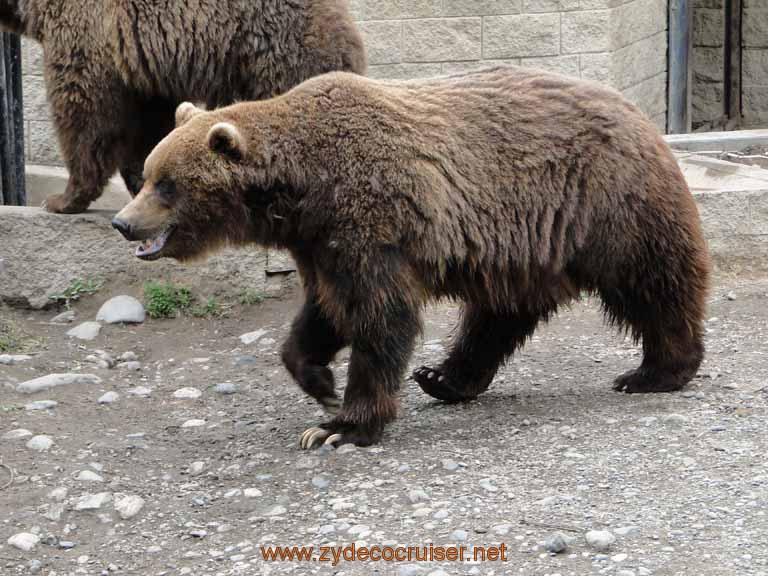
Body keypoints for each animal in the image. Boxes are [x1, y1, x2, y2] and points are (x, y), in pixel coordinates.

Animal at [0, 0, 364, 214]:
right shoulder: (142, 62)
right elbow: (146, 123)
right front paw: (144, 182)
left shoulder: (88, 31)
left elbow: (84, 110)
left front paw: (61, 199)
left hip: (272, 45)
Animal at [111, 65, 712, 448]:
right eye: (149, 172)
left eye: (167, 185)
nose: (123, 222)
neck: (303, 191)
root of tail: (641, 114)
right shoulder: (322, 242)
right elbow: (325, 311)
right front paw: (318, 383)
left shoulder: (370, 221)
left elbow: (380, 317)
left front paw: (341, 427)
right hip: (524, 244)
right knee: (498, 315)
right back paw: (443, 377)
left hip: (607, 205)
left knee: (655, 282)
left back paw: (656, 370)